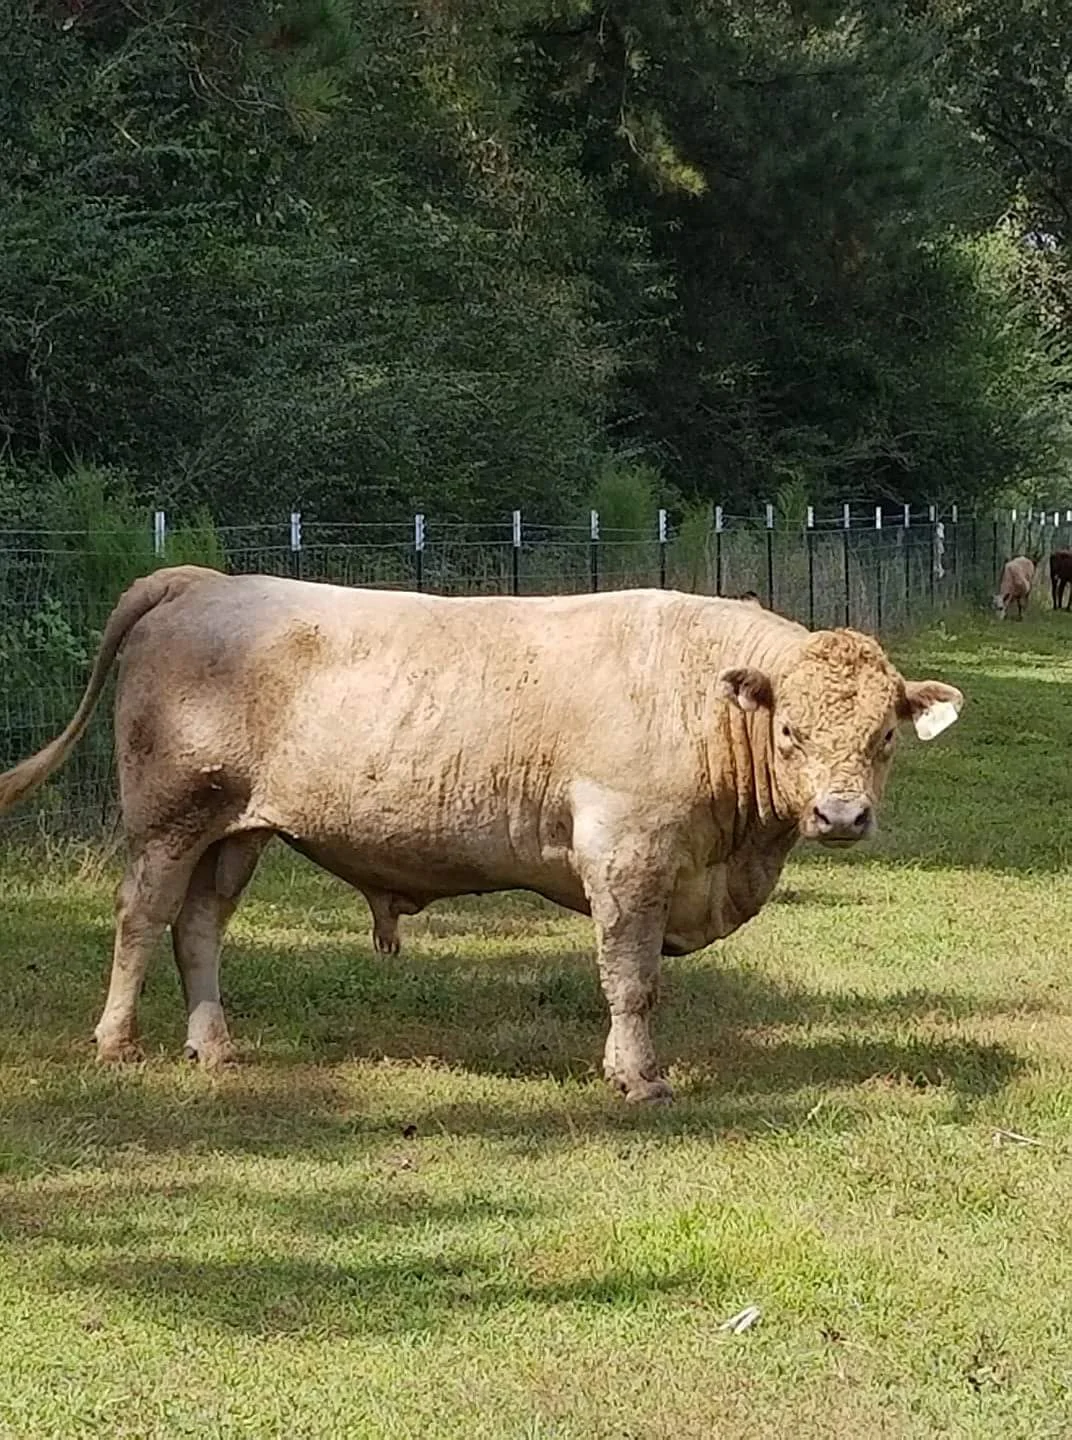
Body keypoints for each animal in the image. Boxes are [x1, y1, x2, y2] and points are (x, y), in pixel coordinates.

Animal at [0, 568, 963, 1103]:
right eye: (791, 731)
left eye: (883, 736)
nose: (841, 816)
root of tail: (202, 581)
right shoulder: (627, 855)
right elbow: (633, 981)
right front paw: (640, 1078)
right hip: (169, 817)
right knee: (142, 915)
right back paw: (118, 1042)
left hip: (237, 830)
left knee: (199, 926)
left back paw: (213, 1047)